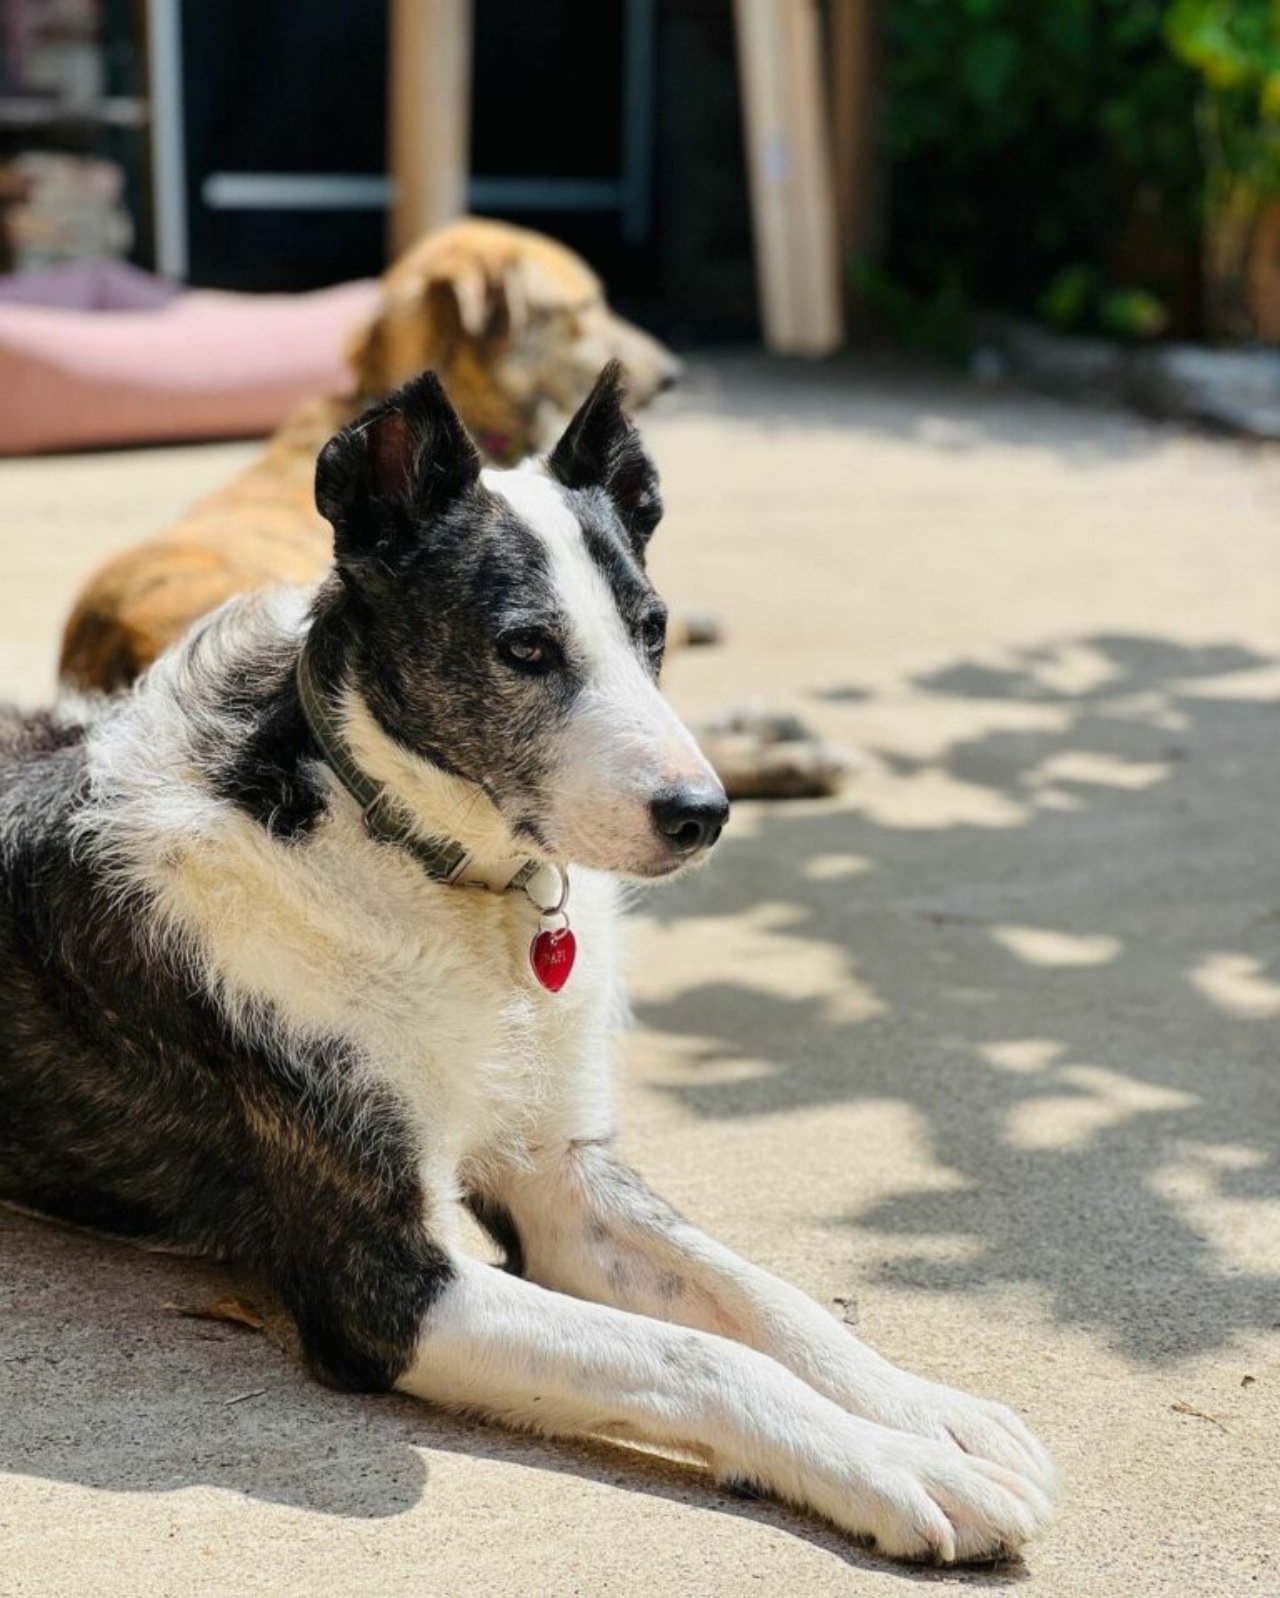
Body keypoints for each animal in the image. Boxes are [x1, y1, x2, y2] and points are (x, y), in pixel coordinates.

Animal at [0, 362, 1054, 1559]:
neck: (427, 863)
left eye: (652, 629)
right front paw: (902, 1468)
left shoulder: (563, 1178)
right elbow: (699, 1354)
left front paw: (933, 1411)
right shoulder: (381, 1281)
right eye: (524, 649)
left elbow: (765, 1297)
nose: (700, 816)